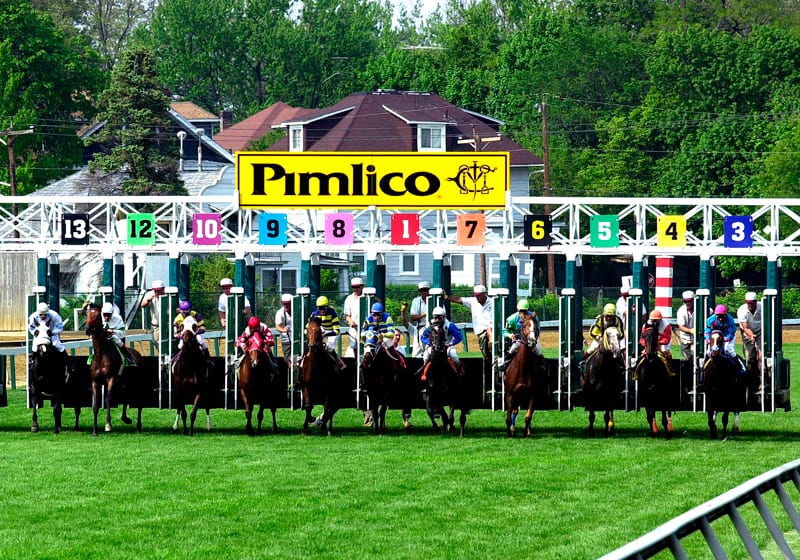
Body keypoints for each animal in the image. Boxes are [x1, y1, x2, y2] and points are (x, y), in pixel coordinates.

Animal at [84, 304, 144, 436]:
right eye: (87, 314)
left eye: (97, 315)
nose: (88, 329)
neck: (101, 355)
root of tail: (137, 354)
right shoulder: (95, 381)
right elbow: (95, 405)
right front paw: (95, 430)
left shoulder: (111, 379)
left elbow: (108, 400)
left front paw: (108, 425)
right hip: (124, 383)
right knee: (126, 398)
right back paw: (125, 418)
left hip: (136, 383)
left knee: (138, 402)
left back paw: (138, 426)